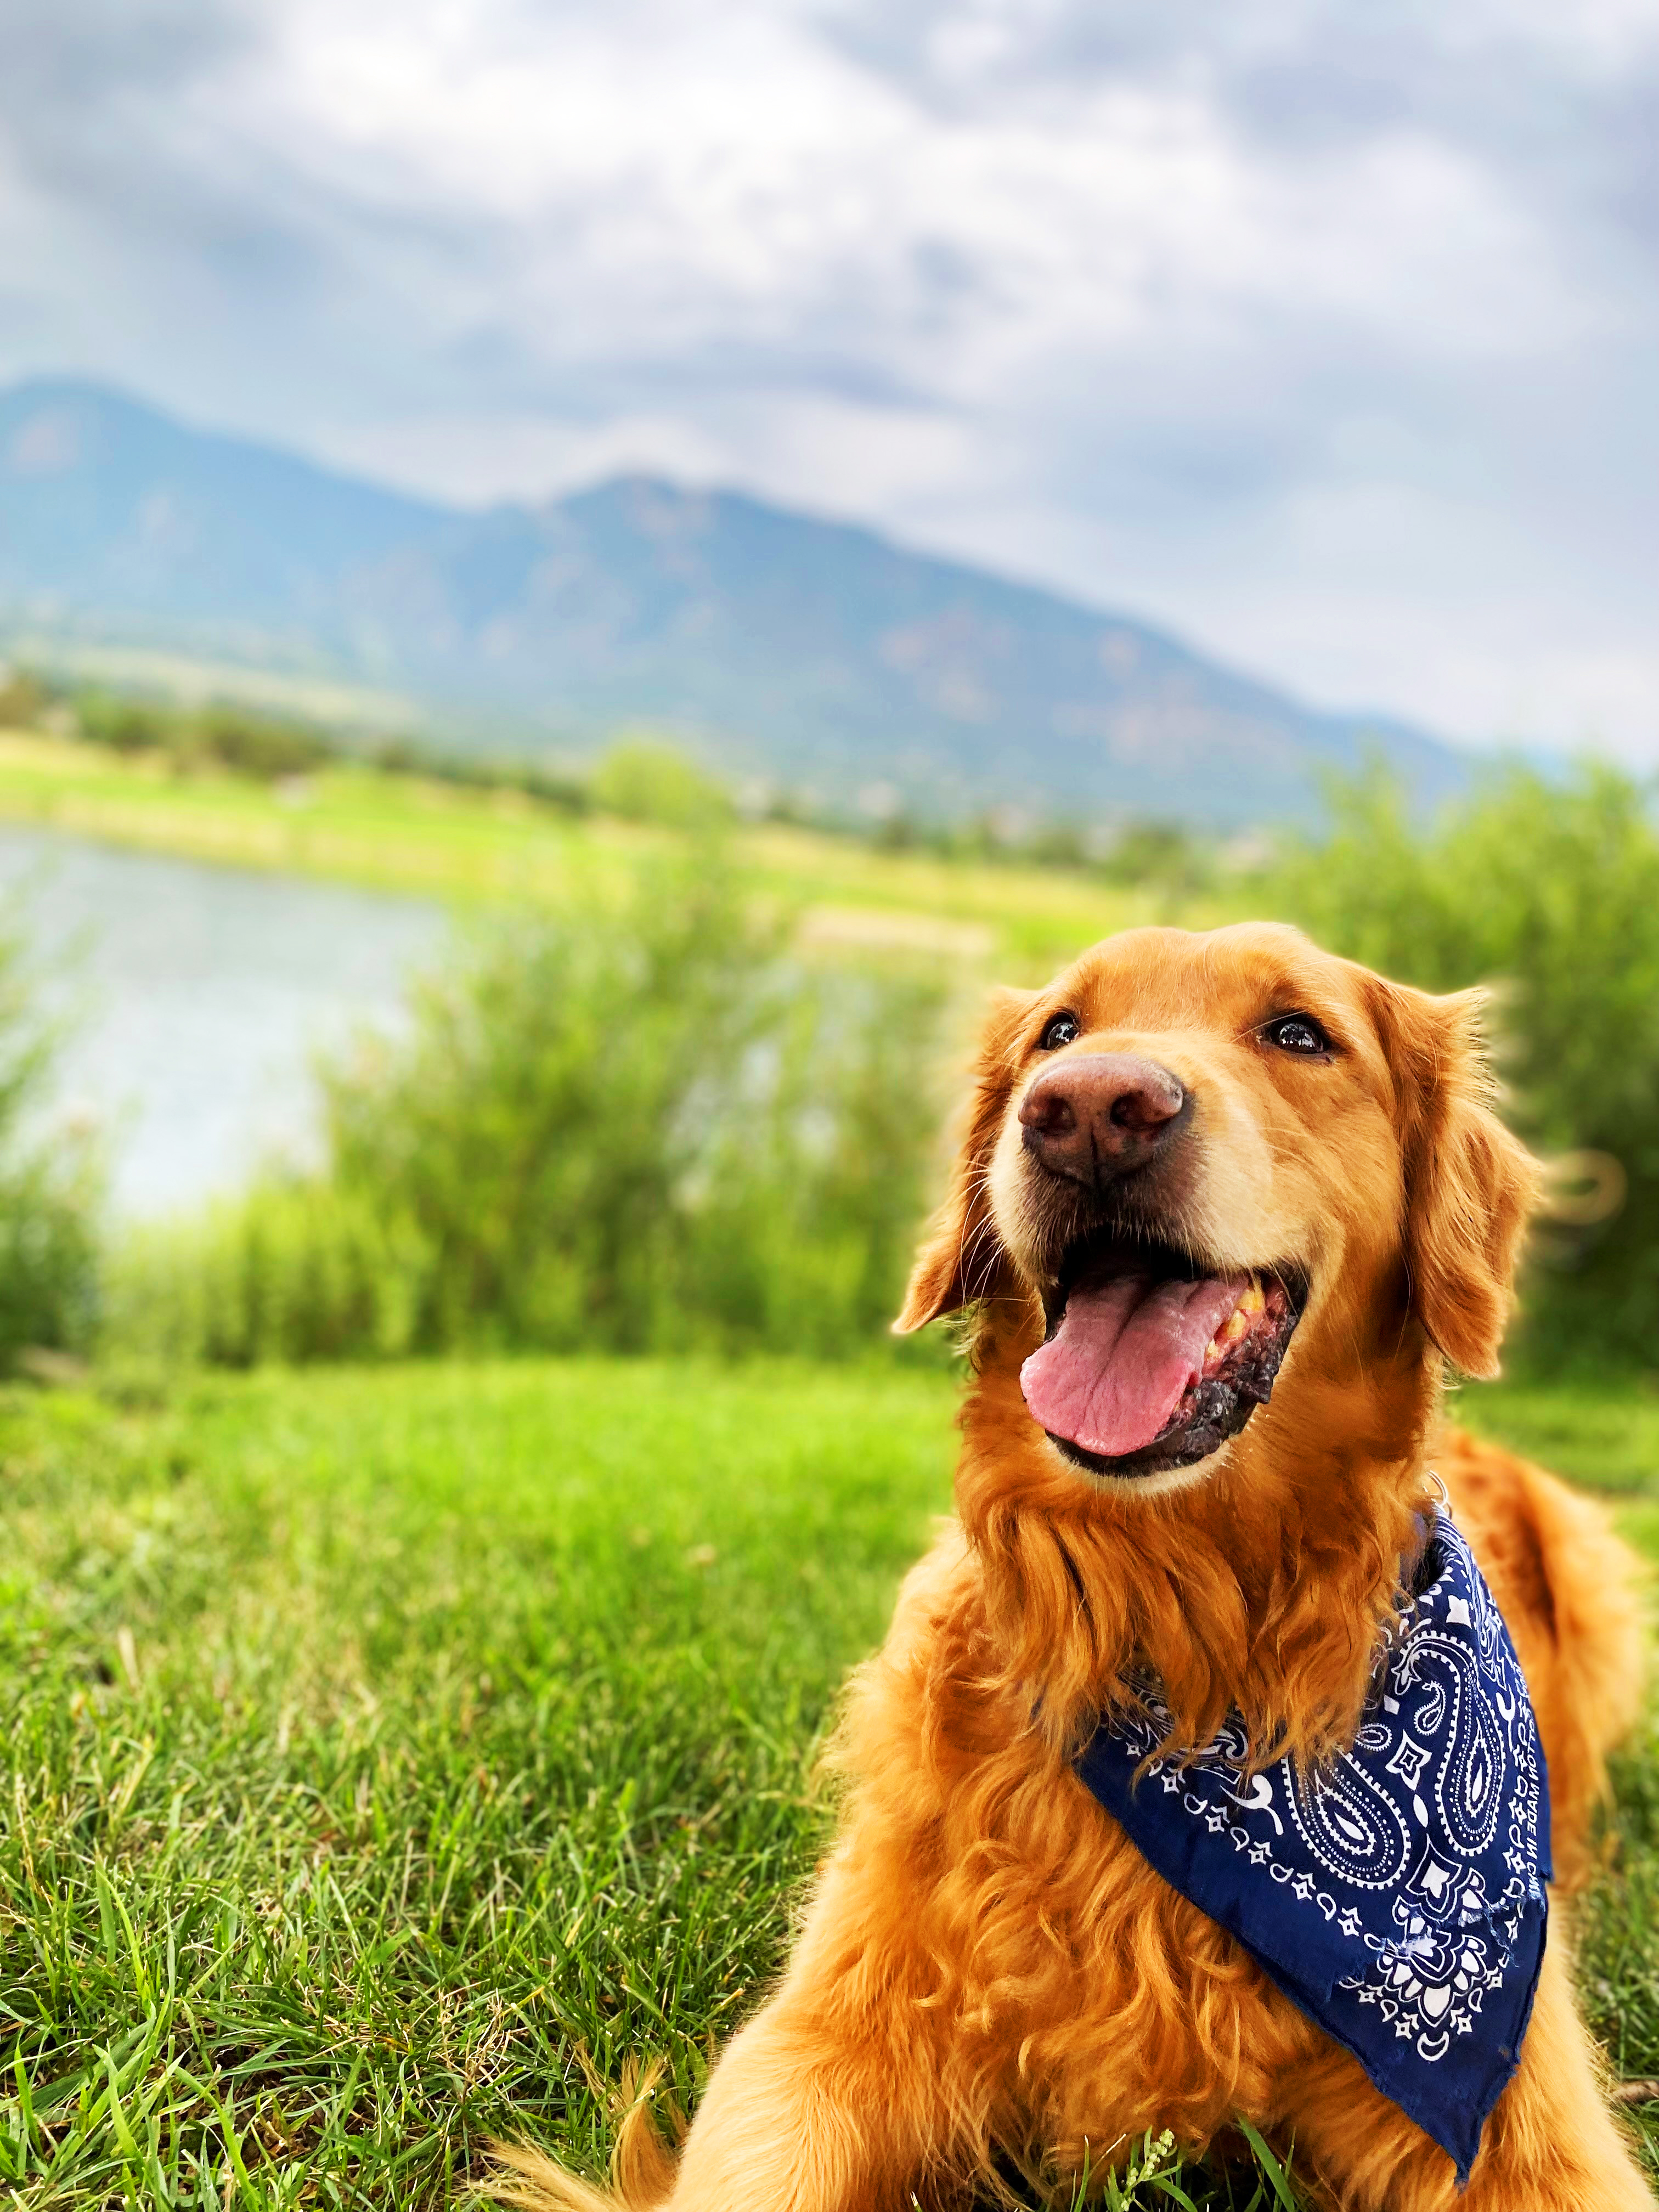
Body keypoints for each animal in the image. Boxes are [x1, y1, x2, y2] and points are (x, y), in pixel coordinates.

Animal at [500, 924, 1654, 2203]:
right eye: (1057, 1030)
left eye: (1299, 1032)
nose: (1090, 1110)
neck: (1179, 1630)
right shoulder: (822, 2040)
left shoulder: (1518, 2117)